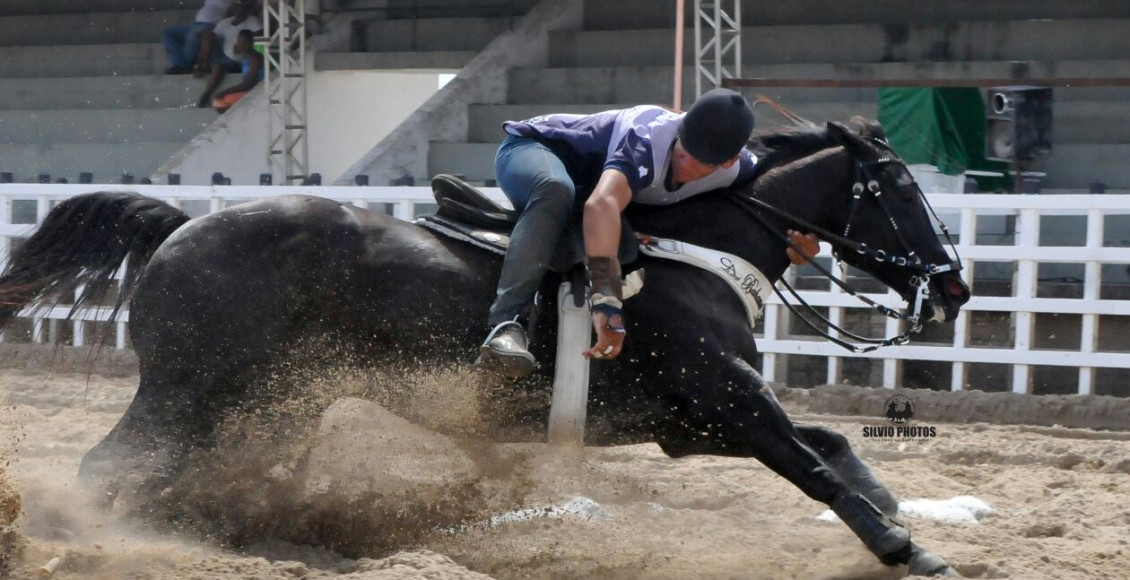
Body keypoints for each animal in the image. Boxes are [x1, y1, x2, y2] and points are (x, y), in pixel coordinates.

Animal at [0, 122, 971, 574]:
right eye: (899, 189)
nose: (956, 286)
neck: (688, 245)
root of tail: (182, 226)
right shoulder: (727, 402)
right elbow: (811, 464)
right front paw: (899, 546)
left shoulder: (691, 424)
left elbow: (834, 448)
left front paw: (894, 515)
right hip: (185, 390)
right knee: (106, 467)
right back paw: (91, 542)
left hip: (265, 401)